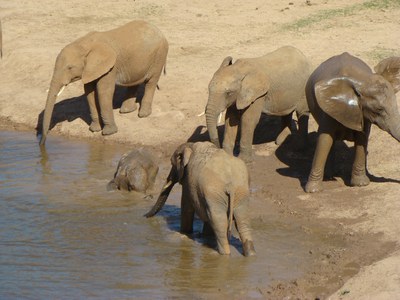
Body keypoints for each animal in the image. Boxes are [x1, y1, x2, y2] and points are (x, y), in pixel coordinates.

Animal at [41, 19, 170, 145]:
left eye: (69, 68)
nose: (42, 142)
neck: (85, 43)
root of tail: (160, 31)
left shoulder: (110, 67)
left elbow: (104, 92)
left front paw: (108, 133)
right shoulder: (91, 69)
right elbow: (90, 93)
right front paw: (94, 130)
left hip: (159, 55)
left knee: (151, 82)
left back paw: (143, 114)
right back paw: (126, 111)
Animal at [304, 52, 400, 193]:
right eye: (378, 110)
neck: (361, 83)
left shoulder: (362, 114)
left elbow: (362, 138)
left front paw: (361, 184)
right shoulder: (328, 109)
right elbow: (325, 139)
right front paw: (313, 190)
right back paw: (328, 177)